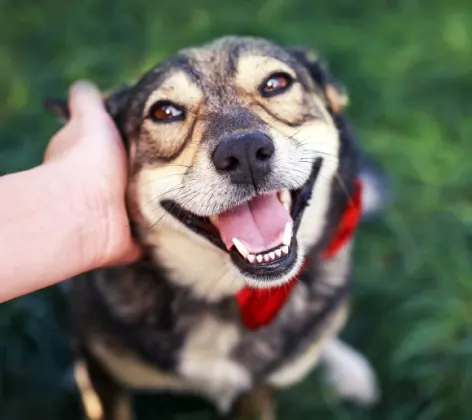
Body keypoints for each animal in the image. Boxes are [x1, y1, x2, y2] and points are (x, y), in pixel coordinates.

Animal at [47, 37, 388, 420]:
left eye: (276, 83)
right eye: (164, 112)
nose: (244, 151)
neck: (226, 294)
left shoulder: (257, 391)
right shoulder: (106, 378)